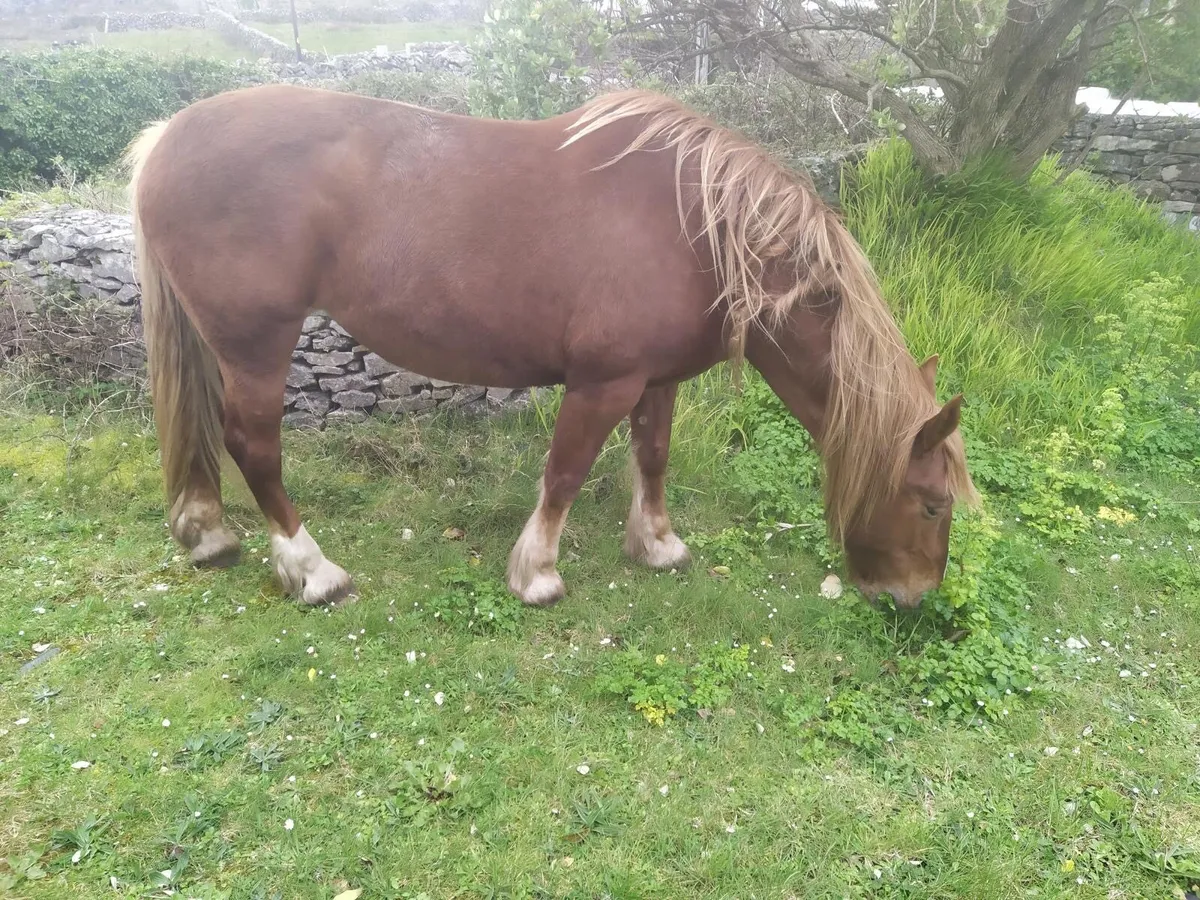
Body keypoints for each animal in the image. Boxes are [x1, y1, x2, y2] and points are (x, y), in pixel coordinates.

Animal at [125, 83, 977, 610]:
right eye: (933, 503)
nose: (912, 599)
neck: (698, 229)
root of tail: (168, 137)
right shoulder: (602, 382)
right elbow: (566, 472)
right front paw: (536, 574)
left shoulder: (656, 379)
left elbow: (653, 456)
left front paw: (657, 545)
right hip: (257, 342)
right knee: (252, 443)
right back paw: (313, 571)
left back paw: (208, 534)